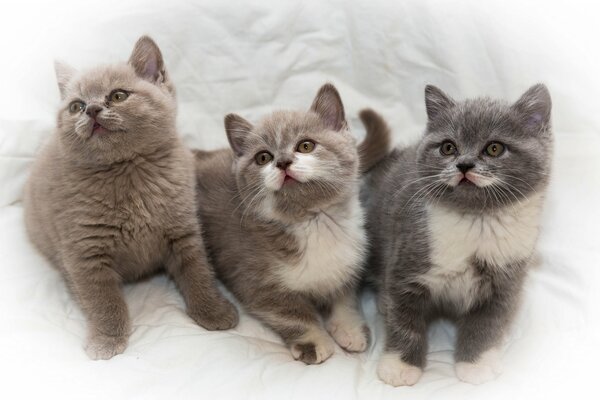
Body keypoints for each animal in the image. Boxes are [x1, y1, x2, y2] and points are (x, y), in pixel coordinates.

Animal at [23, 35, 239, 360]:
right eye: (76, 106)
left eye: (118, 95)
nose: (92, 109)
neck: (128, 172)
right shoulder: (84, 253)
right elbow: (104, 300)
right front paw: (107, 339)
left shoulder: (184, 231)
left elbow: (198, 272)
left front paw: (212, 311)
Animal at [192, 85, 390, 366]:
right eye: (263, 157)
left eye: (306, 145)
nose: (283, 161)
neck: (311, 222)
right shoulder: (255, 282)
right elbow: (293, 314)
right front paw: (315, 342)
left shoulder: (348, 262)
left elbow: (345, 298)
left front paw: (350, 330)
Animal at [364, 83, 552, 384]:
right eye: (448, 147)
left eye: (494, 148)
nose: (464, 164)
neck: (475, 221)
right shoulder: (407, 259)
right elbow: (404, 318)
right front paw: (400, 366)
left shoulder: (505, 280)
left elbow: (486, 324)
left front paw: (476, 364)